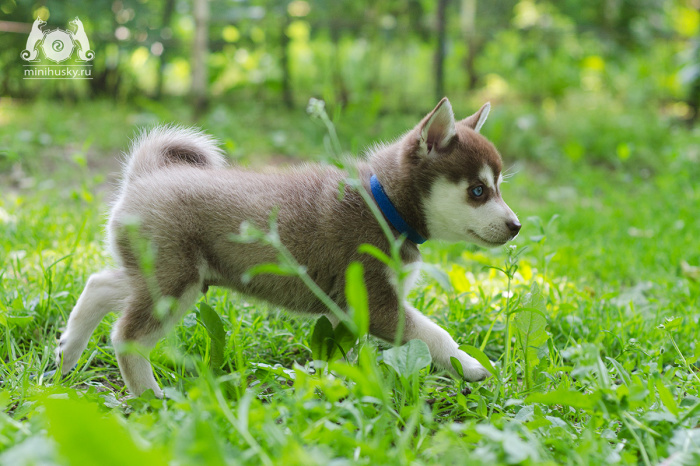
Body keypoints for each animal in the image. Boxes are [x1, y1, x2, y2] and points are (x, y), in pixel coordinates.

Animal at [56, 98, 520, 396]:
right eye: (478, 191)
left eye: (498, 186)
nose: (516, 226)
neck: (382, 202)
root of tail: (145, 175)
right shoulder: (376, 304)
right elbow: (435, 333)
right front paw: (472, 366)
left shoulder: (345, 309)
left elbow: (342, 351)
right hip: (173, 285)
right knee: (126, 336)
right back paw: (148, 397)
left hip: (167, 276)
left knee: (99, 284)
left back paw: (66, 352)